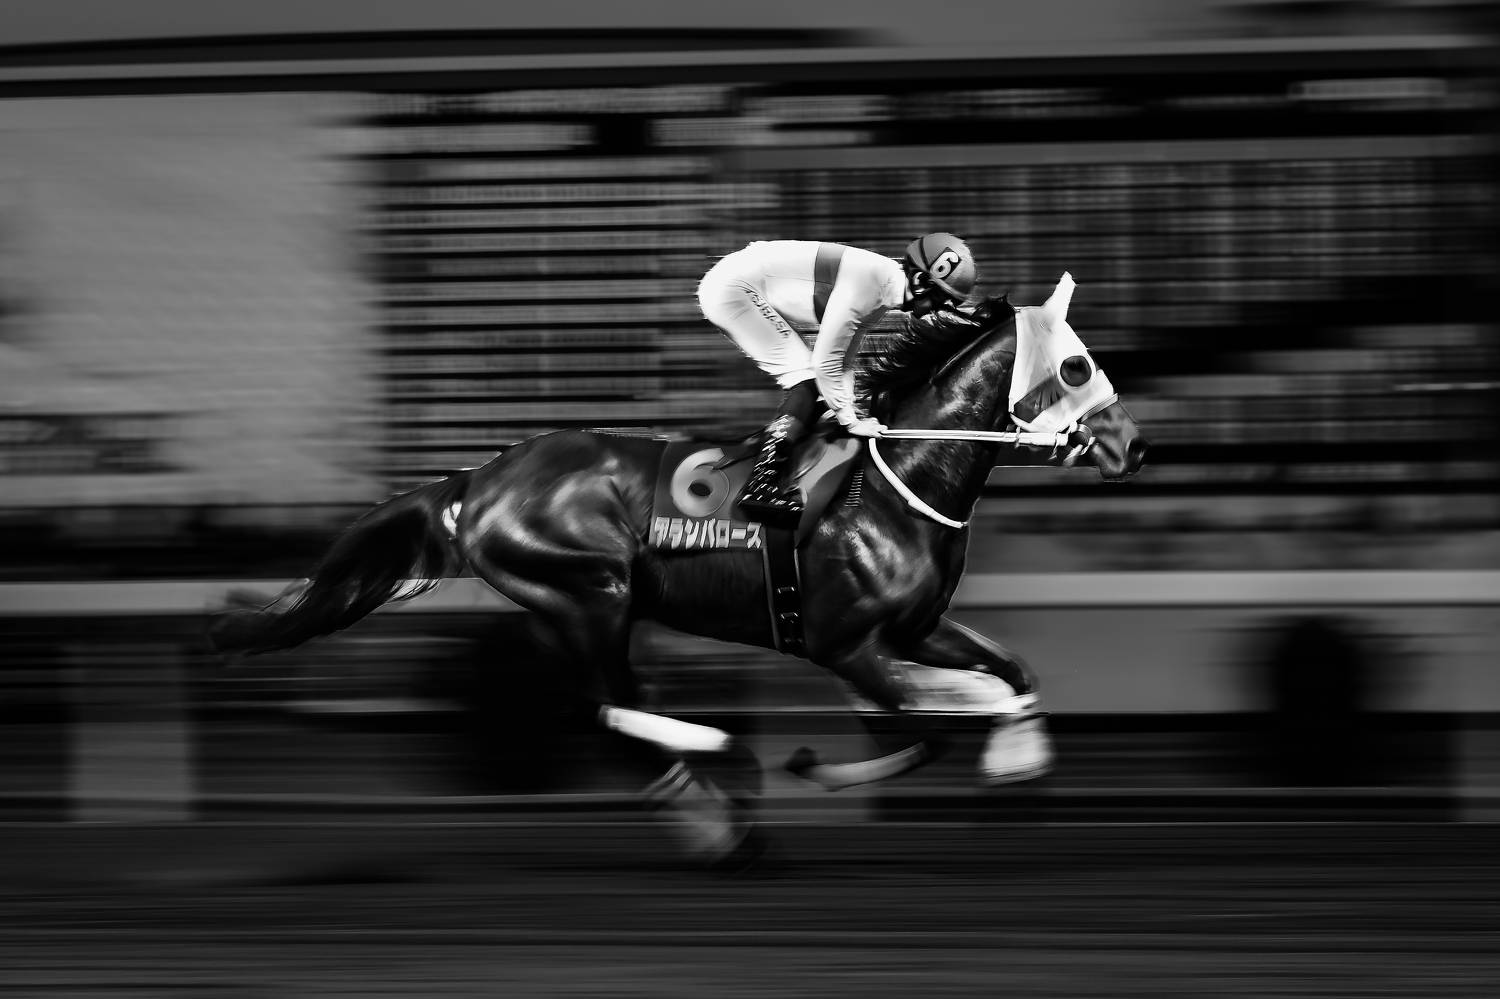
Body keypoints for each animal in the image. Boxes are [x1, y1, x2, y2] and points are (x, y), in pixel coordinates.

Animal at [210, 273, 1147, 867]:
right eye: (1075, 364)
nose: (1133, 446)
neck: (898, 477)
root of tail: (479, 480)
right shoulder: (848, 645)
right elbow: (936, 718)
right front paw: (824, 766)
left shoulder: (915, 628)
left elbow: (1010, 673)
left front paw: (1017, 766)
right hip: (588, 592)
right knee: (606, 710)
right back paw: (723, 787)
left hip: (592, 607)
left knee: (616, 711)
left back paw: (723, 815)